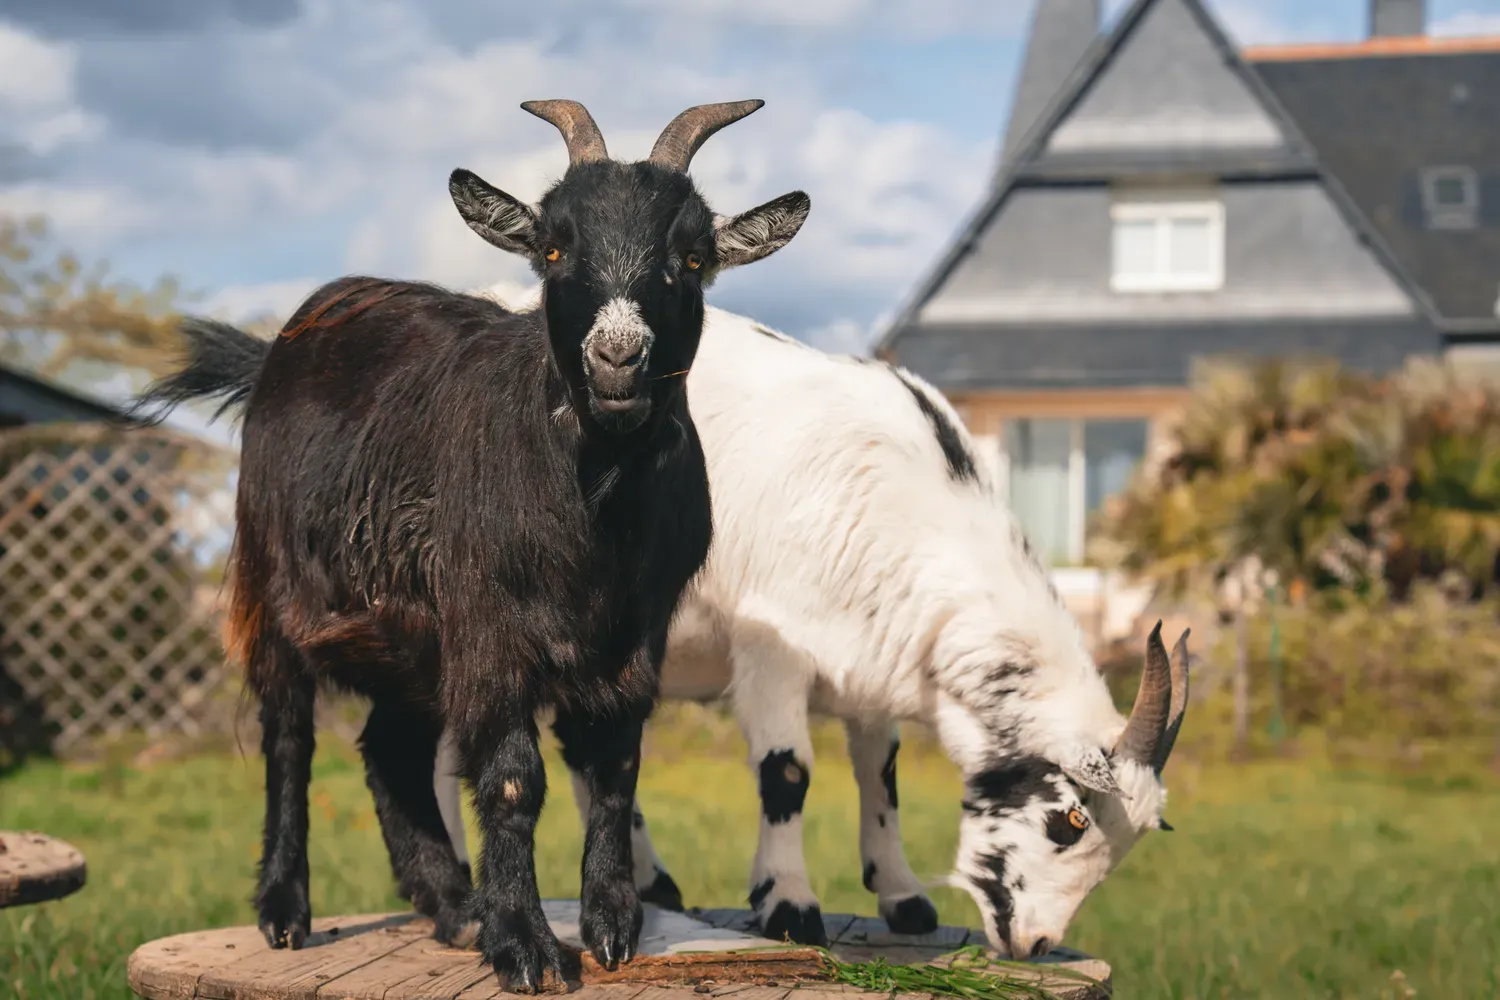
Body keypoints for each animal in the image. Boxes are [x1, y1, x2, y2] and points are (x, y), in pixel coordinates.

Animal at [131, 102, 811, 991]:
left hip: (408, 635)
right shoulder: (489, 626)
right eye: (553, 248)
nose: (616, 359)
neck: (592, 504)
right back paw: (285, 911)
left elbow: (615, 769)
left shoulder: (637, 632)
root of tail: (284, 344)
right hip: (276, 582)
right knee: (289, 734)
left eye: (690, 258)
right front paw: (524, 946)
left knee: (389, 748)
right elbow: (515, 778)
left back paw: (454, 906)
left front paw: (611, 924)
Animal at [435, 305, 1188, 960]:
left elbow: (880, 773)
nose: (1034, 943)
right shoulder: (772, 647)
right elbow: (787, 771)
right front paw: (789, 904)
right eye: (1069, 821)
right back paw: (462, 897)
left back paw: (648, 883)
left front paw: (903, 896)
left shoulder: (875, 660)